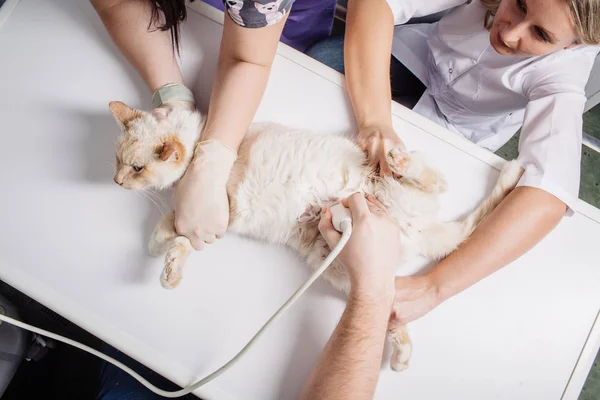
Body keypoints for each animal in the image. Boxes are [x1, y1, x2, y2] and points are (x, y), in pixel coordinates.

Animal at [110, 101, 524, 372]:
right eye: (118, 160)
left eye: (137, 168)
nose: (115, 181)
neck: (203, 142)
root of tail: (414, 227)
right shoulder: (201, 219)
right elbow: (169, 231)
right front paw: (162, 254)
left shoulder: (217, 214)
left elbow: (179, 239)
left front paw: (169, 263)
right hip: (344, 269)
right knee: (393, 304)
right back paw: (401, 355)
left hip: (389, 194)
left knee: (433, 181)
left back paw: (402, 162)